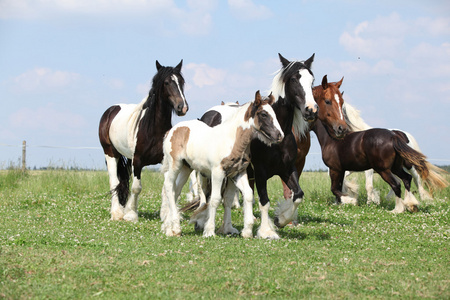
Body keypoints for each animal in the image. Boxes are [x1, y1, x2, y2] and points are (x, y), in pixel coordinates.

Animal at [98, 59, 188, 221]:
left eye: (181, 82)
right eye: (166, 82)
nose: (182, 107)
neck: (153, 129)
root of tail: (111, 110)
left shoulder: (165, 161)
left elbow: (166, 187)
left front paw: (165, 214)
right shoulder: (138, 161)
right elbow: (136, 187)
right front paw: (131, 214)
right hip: (110, 153)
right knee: (114, 181)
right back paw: (117, 213)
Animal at [160, 91, 284, 237]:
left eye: (274, 113)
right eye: (264, 114)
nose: (280, 135)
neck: (232, 140)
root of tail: (171, 131)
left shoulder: (237, 173)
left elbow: (245, 195)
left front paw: (246, 231)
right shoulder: (217, 173)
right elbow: (215, 199)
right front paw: (209, 231)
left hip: (186, 168)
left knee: (176, 191)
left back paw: (170, 228)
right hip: (175, 165)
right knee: (168, 186)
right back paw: (176, 228)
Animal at [199, 52, 318, 238]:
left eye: (312, 80)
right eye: (293, 79)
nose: (311, 110)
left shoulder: (287, 169)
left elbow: (298, 195)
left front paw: (281, 219)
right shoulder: (260, 172)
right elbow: (264, 201)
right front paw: (266, 231)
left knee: (227, 200)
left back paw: (228, 228)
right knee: (207, 196)